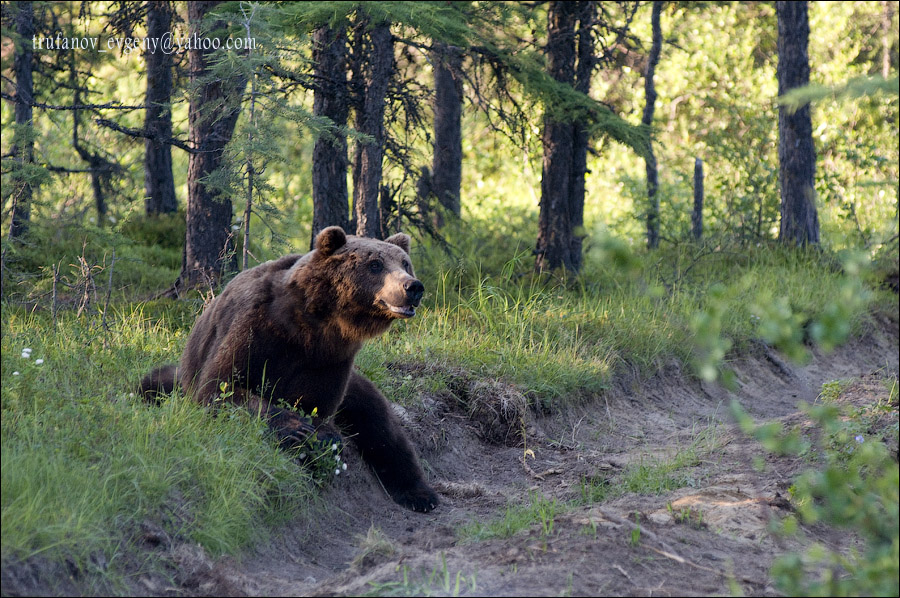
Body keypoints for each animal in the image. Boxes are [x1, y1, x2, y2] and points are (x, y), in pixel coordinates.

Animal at [139, 227, 442, 512]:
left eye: (404, 263)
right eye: (376, 264)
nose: (413, 286)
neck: (313, 322)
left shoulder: (332, 357)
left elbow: (319, 403)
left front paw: (322, 436)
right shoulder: (255, 326)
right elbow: (220, 386)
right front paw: (295, 429)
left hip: (357, 388)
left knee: (381, 423)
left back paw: (420, 493)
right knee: (155, 382)